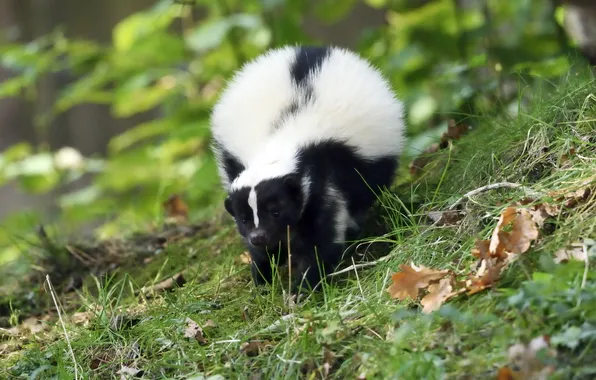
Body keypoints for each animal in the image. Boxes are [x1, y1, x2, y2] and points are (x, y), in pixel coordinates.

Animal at [208, 46, 406, 292]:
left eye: (276, 210)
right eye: (243, 219)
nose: (259, 236)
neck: (282, 139)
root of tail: (307, 50)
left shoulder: (323, 177)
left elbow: (321, 236)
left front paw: (303, 286)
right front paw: (264, 275)